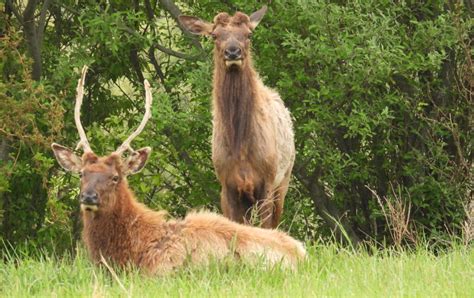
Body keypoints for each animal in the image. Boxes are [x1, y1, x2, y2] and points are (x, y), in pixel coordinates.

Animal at [180, 5, 294, 228]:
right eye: (214, 35)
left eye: (249, 34)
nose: (233, 51)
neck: (240, 148)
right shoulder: (227, 185)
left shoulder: (267, 181)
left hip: (284, 181)